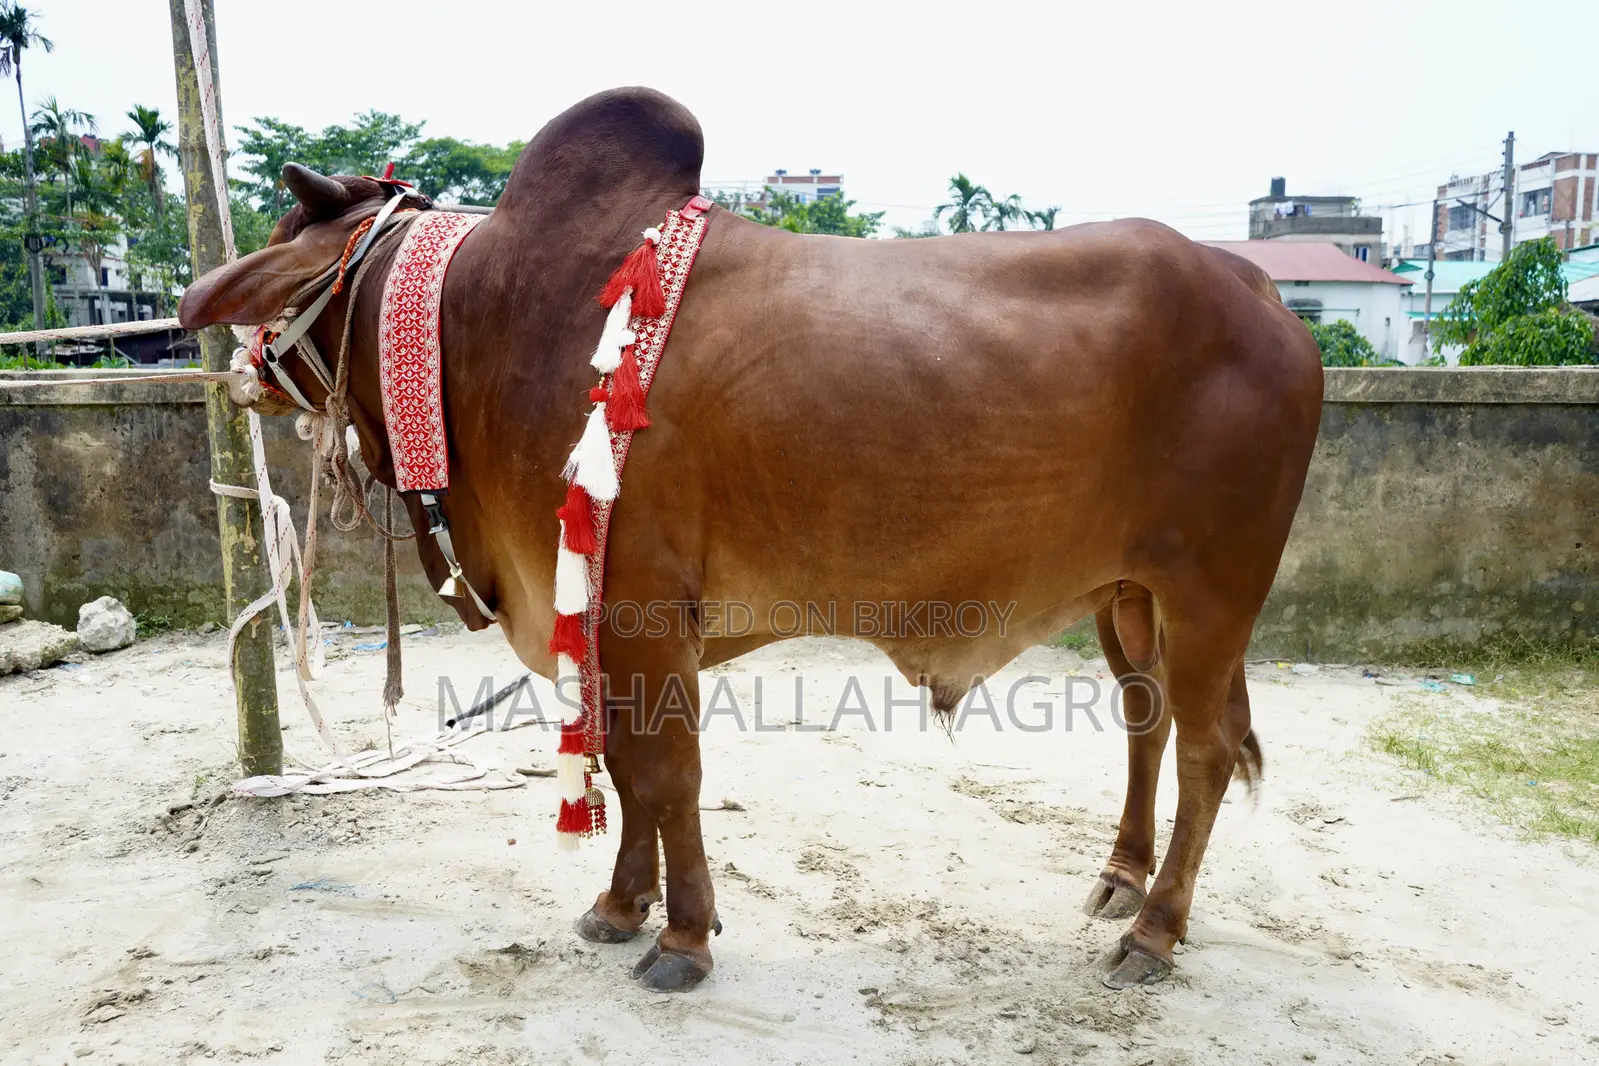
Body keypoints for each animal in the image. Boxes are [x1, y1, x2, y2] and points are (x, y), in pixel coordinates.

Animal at [178, 86, 1323, 993]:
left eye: (288, 230)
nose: (230, 366)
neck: (487, 322)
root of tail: (1257, 287)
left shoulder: (640, 607)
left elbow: (665, 774)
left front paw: (681, 936)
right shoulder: (601, 614)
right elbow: (626, 770)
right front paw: (619, 906)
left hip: (1212, 591)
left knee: (1208, 745)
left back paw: (1155, 931)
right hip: (1127, 595)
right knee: (1146, 721)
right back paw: (1119, 879)